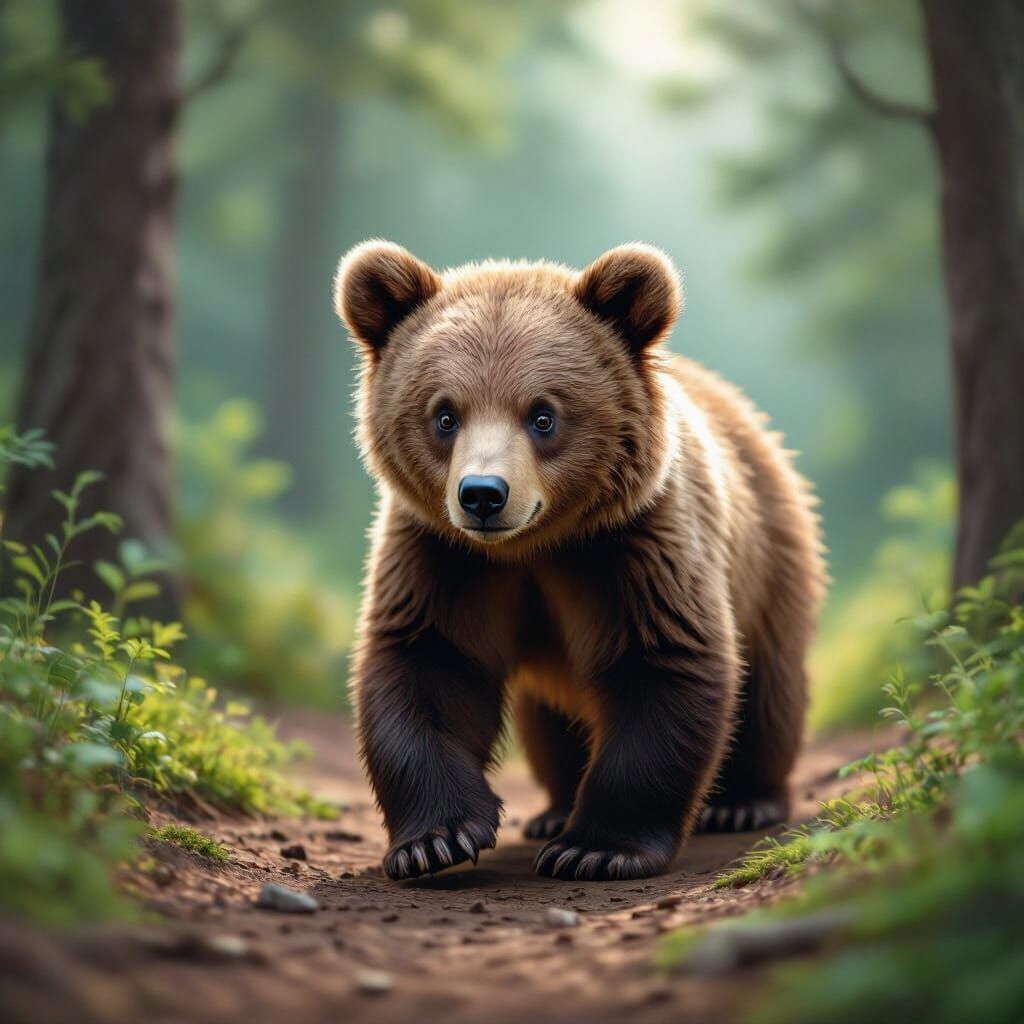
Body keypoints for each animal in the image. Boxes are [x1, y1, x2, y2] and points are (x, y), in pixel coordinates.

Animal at [334, 239, 826, 882]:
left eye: (543, 415)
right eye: (444, 415)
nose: (483, 494)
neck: (533, 547)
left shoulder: (634, 547)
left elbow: (663, 662)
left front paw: (595, 848)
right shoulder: (443, 557)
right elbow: (427, 661)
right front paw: (437, 840)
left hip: (769, 556)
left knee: (770, 687)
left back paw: (745, 801)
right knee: (550, 722)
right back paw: (554, 808)